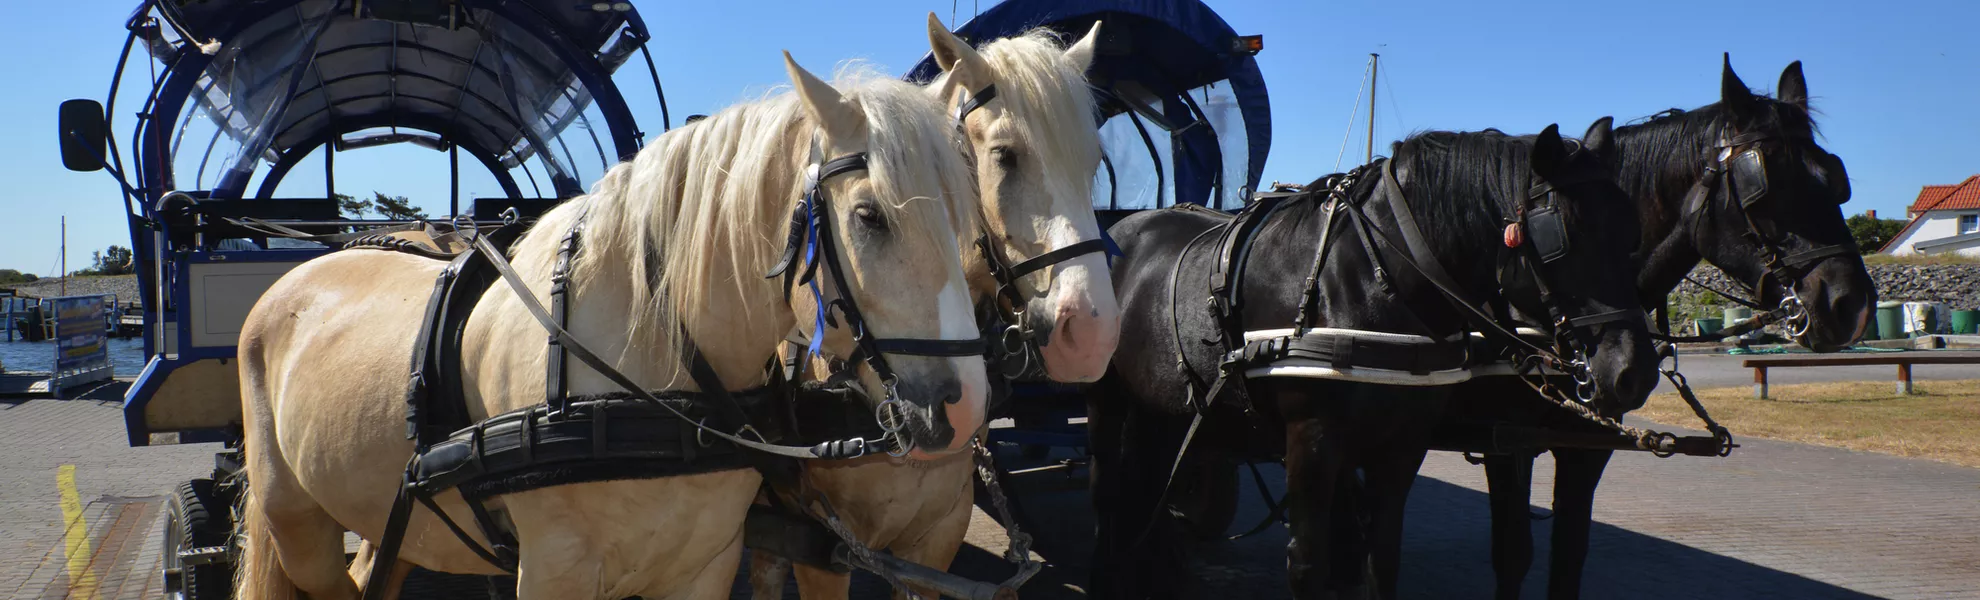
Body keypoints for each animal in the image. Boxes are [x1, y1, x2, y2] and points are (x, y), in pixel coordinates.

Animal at [233, 52, 990, 600]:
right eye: (869, 217)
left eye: (966, 220)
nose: (965, 410)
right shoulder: (553, 571)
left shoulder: (705, 567)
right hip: (295, 527)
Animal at [1092, 119, 1663, 598]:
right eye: (1563, 235)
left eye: (1632, 231)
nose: (1633, 372)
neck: (1369, 275)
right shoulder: (1313, 439)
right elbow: (1309, 565)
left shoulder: (1403, 445)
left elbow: (1381, 559)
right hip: (1110, 400)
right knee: (1109, 487)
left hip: (1166, 409)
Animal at [1465, 56, 1877, 600]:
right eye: (1766, 186)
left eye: (1834, 179)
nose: (1853, 305)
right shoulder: (1506, 443)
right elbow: (1512, 555)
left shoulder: (1589, 444)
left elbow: (1569, 553)